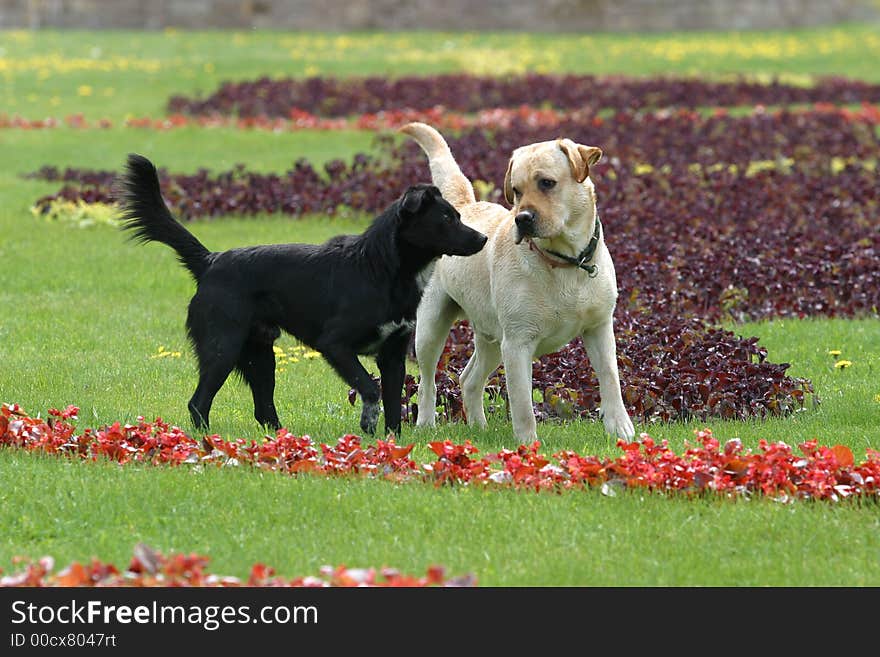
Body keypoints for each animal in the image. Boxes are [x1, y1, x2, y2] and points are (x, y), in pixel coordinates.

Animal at [117, 154, 488, 436]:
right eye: (446, 218)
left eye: (457, 215)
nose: (483, 239)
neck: (379, 267)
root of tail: (210, 261)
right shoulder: (335, 344)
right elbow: (370, 388)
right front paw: (368, 423)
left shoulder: (393, 354)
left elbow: (394, 403)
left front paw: (390, 442)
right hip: (223, 347)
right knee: (199, 402)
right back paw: (205, 442)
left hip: (260, 355)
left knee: (263, 408)